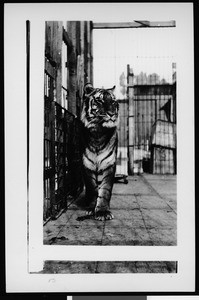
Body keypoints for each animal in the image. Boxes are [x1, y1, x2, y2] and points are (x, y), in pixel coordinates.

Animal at [80, 83, 119, 221]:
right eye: (100, 100)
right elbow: (93, 188)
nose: (112, 114)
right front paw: (92, 209)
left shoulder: (109, 164)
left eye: (113, 101)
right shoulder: (87, 165)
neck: (99, 132)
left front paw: (103, 211)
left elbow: (105, 190)